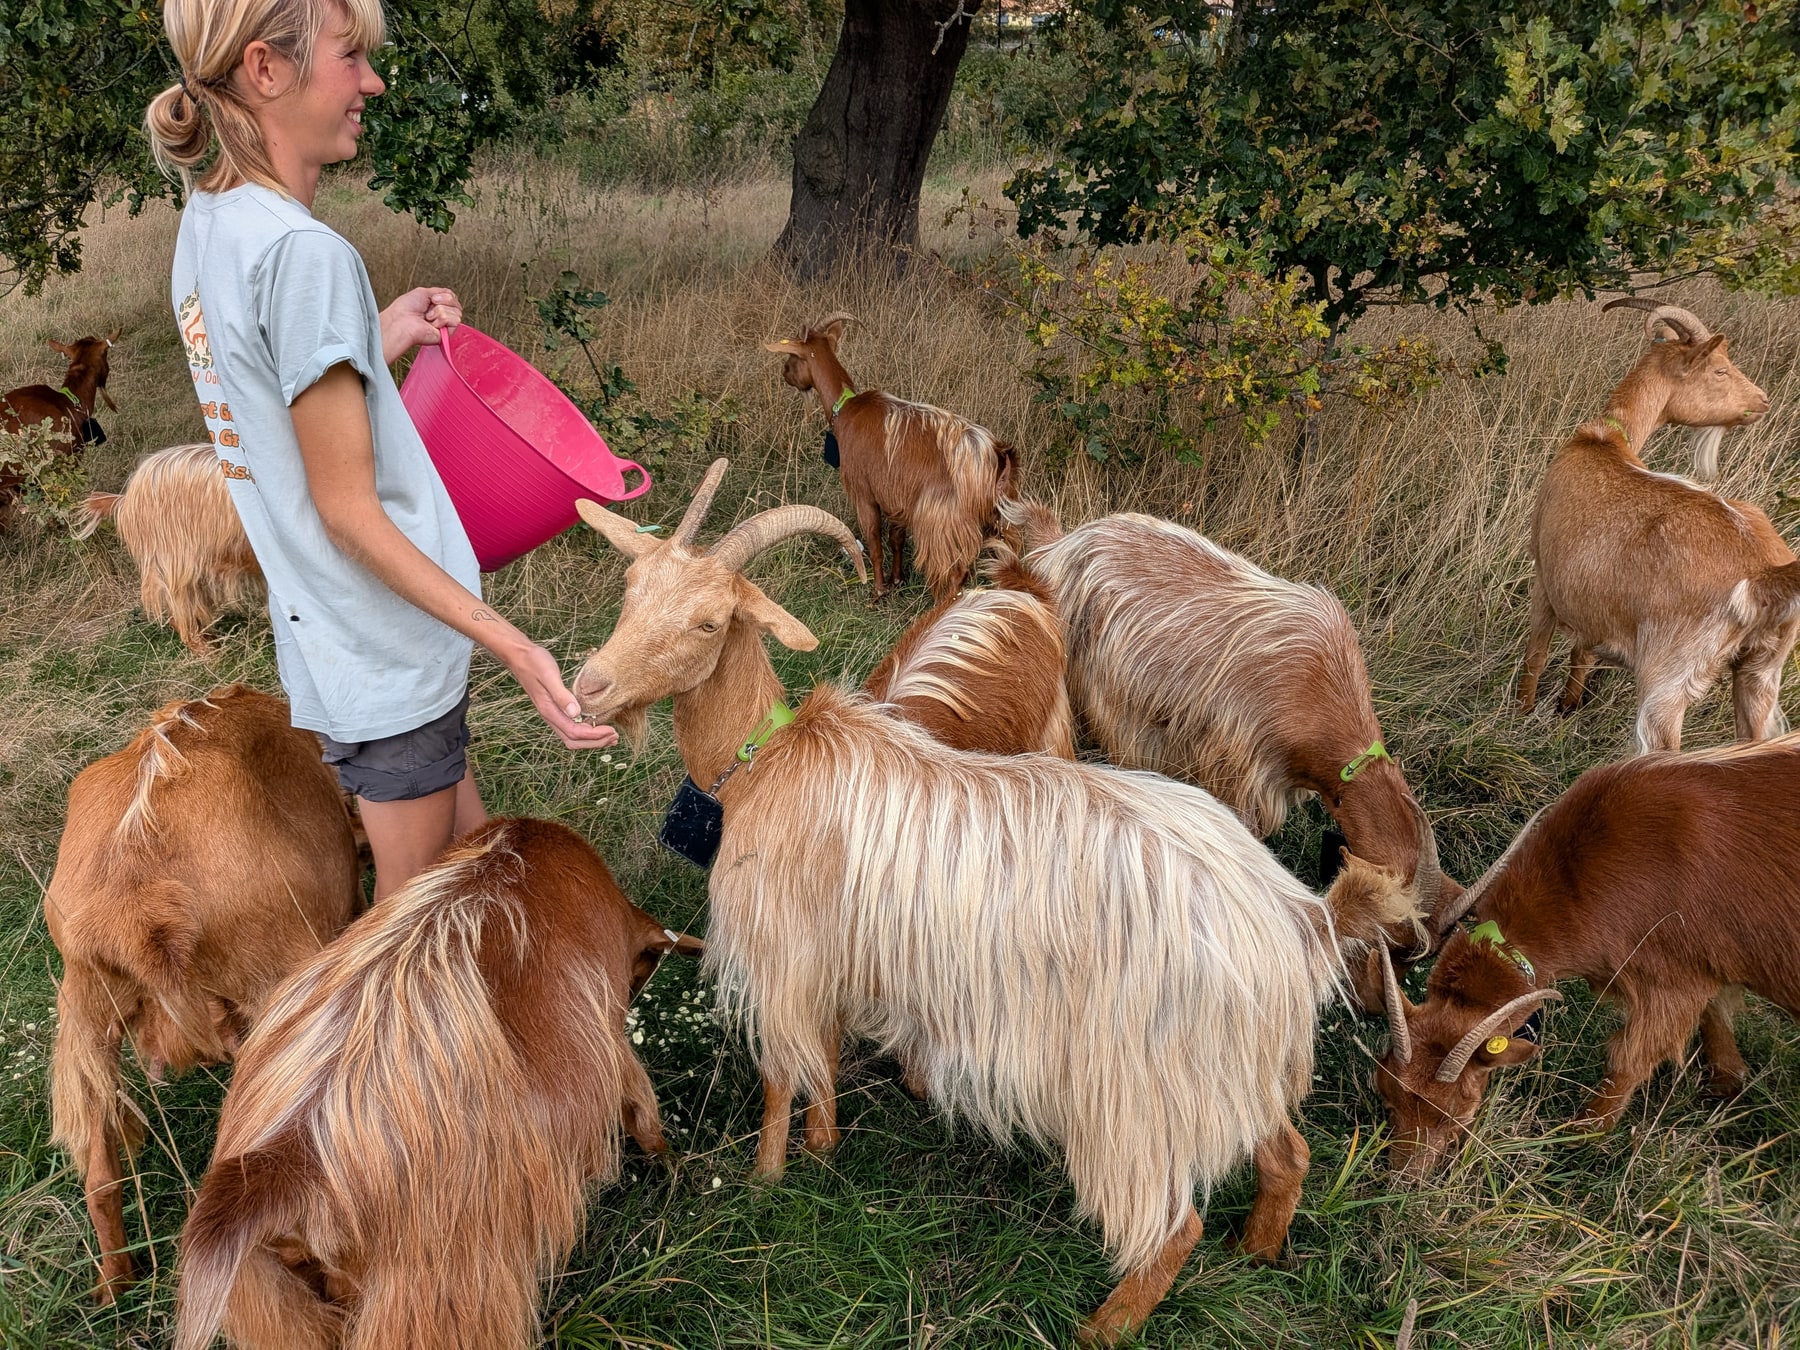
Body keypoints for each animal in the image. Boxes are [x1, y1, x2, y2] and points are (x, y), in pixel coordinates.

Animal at [174, 817, 700, 1350]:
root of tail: (280, 1164)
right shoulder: (609, 1045)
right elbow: (643, 1113)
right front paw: (675, 1168)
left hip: (293, 1308)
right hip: (436, 1302)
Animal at [765, 314, 1018, 602]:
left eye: (792, 356)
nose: (785, 374)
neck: (847, 408)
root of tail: (996, 455)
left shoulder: (864, 494)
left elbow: (874, 543)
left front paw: (878, 590)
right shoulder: (896, 499)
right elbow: (896, 540)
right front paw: (897, 579)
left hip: (943, 523)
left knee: (956, 574)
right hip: (1004, 519)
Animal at [1370, 734, 1800, 1180]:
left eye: (1455, 1111)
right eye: (1384, 1093)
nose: (1404, 1177)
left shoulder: (1671, 981)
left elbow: (1629, 1058)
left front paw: (1578, 1136)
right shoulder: (1707, 963)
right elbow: (1715, 1010)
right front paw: (1728, 1082)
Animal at [1518, 299, 1785, 753]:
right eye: (1719, 370)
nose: (1763, 400)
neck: (1607, 439)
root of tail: (1764, 574)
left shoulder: (1544, 577)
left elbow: (1536, 653)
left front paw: (1520, 713)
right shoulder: (1593, 610)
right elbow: (1581, 654)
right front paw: (1566, 707)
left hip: (1668, 677)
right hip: (1761, 673)